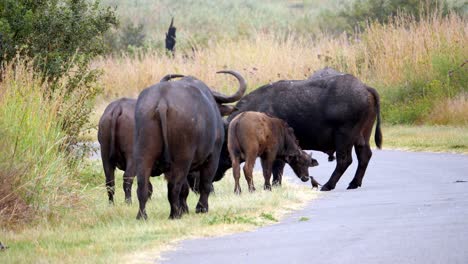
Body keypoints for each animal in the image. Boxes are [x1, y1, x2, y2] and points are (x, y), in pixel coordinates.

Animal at [133, 69, 247, 219]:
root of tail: (162, 102)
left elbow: (185, 189)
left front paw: (185, 209)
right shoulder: (212, 157)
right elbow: (205, 183)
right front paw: (201, 208)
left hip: (144, 154)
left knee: (143, 186)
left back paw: (142, 216)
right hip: (183, 158)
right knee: (174, 187)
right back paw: (174, 214)